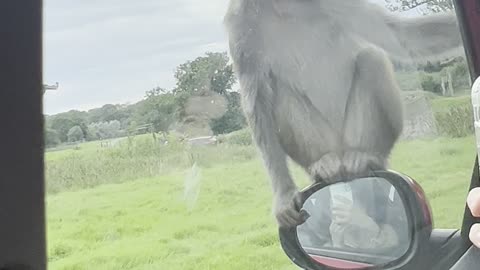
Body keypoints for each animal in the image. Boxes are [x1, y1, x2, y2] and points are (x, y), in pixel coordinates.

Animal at [225, 0, 464, 228]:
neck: (283, 5)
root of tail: (341, 153)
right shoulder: (241, 22)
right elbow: (256, 101)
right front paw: (284, 195)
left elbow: (400, 35)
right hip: (319, 143)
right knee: (277, 88)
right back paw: (323, 165)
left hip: (358, 133)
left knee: (371, 58)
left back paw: (369, 158)